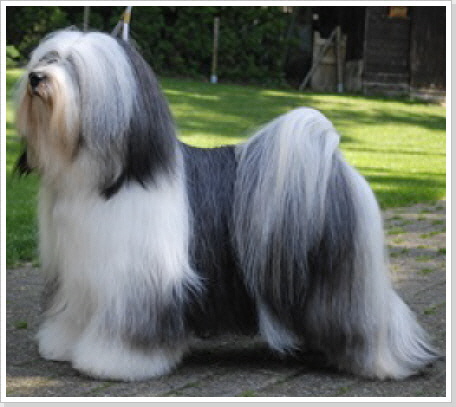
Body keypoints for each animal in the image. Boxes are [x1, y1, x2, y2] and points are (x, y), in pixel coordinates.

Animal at [15, 28, 439, 381]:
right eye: (48, 57)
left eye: (73, 66)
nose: (36, 77)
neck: (103, 176)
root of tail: (332, 162)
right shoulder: (78, 275)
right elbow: (74, 313)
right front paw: (64, 344)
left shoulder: (138, 283)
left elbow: (130, 329)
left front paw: (114, 362)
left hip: (339, 278)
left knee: (366, 318)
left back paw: (384, 362)